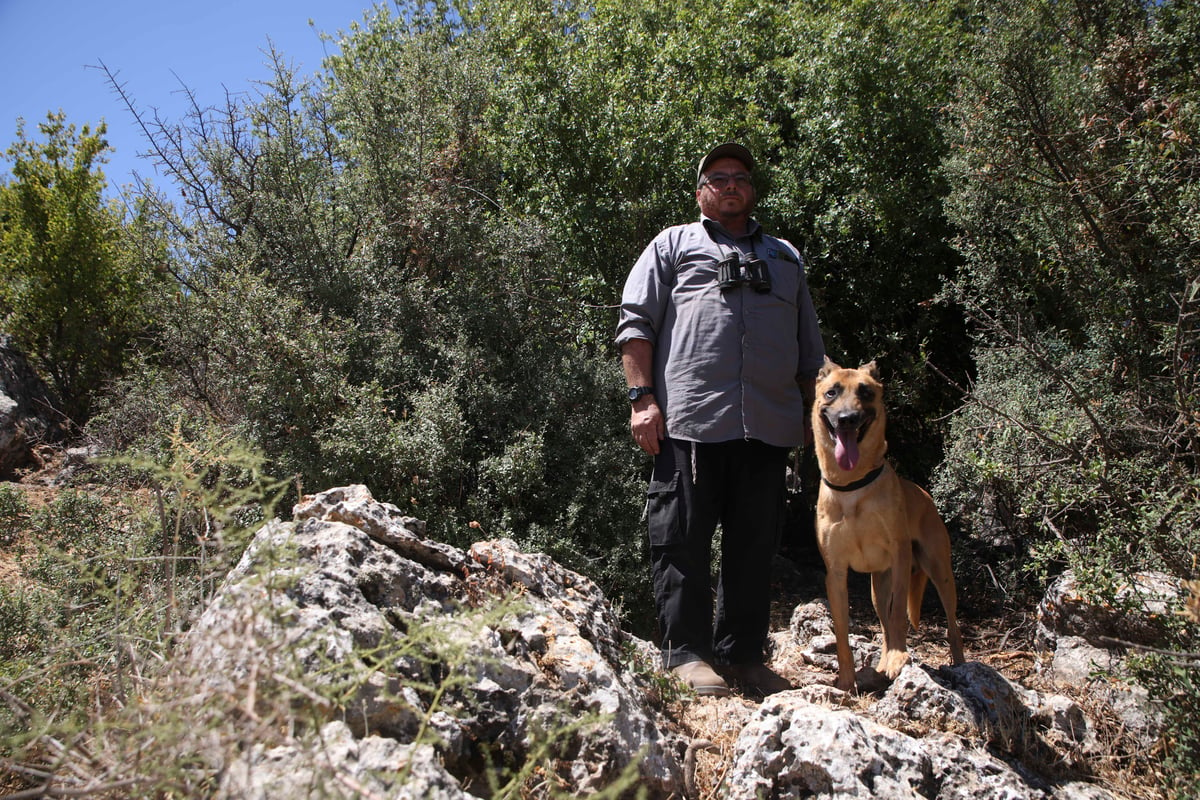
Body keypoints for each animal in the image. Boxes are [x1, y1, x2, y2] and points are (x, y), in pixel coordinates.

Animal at [811, 359, 960, 690]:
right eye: (831, 393)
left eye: (865, 392)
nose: (847, 420)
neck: (851, 486)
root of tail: (924, 494)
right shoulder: (835, 574)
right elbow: (843, 635)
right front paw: (846, 682)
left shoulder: (901, 556)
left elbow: (898, 616)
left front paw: (897, 659)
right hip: (877, 589)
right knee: (884, 625)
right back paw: (881, 663)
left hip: (940, 572)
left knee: (951, 626)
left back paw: (959, 667)